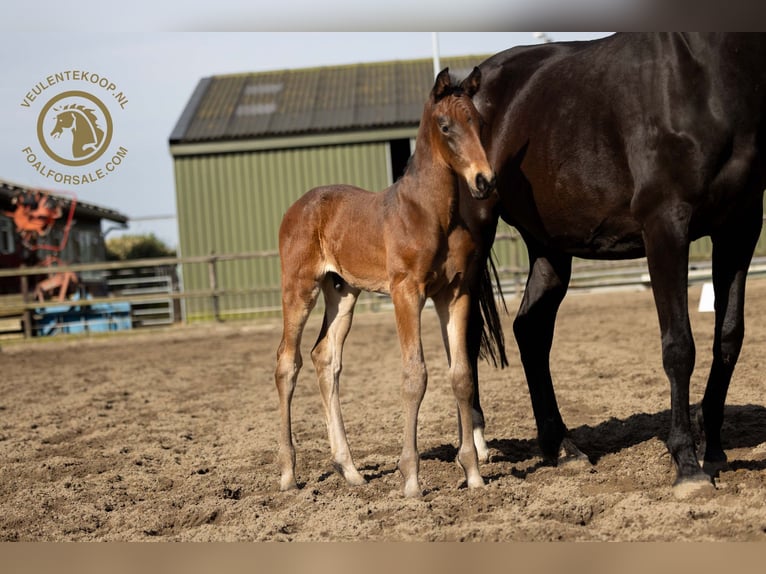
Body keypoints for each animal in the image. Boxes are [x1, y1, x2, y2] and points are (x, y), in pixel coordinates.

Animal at [276, 67, 498, 500]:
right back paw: (289, 474)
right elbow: (415, 375)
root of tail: (296, 208)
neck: (430, 212)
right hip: (299, 287)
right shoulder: (405, 292)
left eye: (479, 123)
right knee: (287, 362)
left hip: (342, 292)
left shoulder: (455, 293)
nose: (484, 181)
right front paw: (410, 478)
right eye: (445, 126)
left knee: (324, 357)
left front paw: (473, 473)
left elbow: (461, 375)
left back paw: (350, 470)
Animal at [468, 32, 766, 500]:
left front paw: (714, 449)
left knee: (530, 330)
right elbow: (679, 346)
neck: (705, 69)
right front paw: (687, 464)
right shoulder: (666, 224)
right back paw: (477, 446)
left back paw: (563, 449)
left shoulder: (741, 226)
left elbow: (729, 338)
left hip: (550, 248)